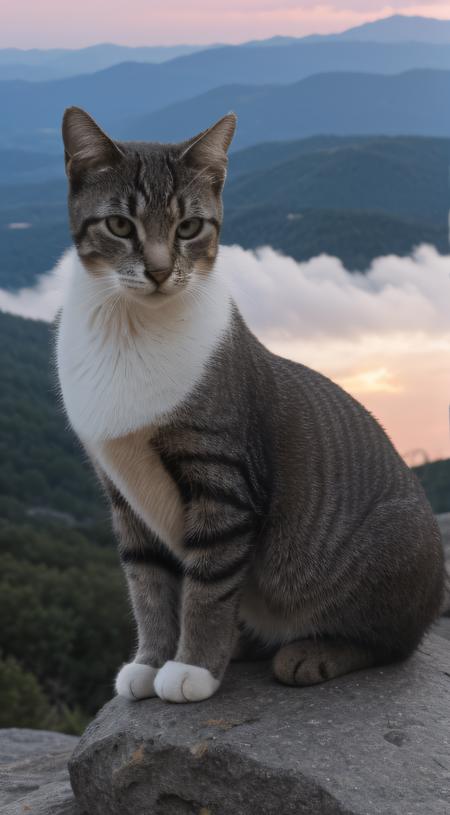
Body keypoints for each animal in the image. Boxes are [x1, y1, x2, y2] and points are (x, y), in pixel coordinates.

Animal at [56, 108, 442, 704]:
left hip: (393, 549)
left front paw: (192, 667)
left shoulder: (224, 481)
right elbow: (147, 583)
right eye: (120, 226)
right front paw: (150, 660)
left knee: (392, 642)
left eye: (188, 227)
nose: (160, 272)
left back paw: (311, 653)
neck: (132, 328)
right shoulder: (121, 489)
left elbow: (209, 585)